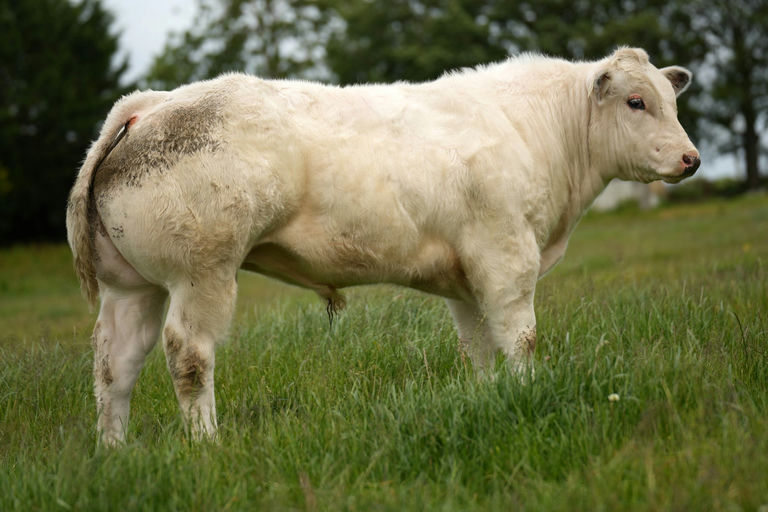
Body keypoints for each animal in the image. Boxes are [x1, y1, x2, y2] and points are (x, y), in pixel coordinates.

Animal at [66, 47, 700, 445]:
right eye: (636, 102)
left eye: (671, 102)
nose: (691, 158)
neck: (535, 131)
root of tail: (148, 102)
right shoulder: (505, 254)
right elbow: (519, 338)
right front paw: (530, 392)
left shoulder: (467, 277)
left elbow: (479, 348)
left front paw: (494, 399)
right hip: (201, 272)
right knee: (189, 355)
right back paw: (206, 444)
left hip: (132, 287)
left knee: (114, 365)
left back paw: (114, 452)